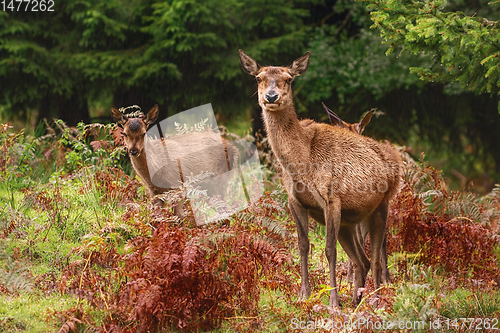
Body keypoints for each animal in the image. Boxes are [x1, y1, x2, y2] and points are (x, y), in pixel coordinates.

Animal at [239, 49, 402, 306]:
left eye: (289, 79)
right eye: (258, 78)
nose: (271, 96)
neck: (302, 162)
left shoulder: (331, 198)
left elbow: (329, 250)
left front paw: (333, 302)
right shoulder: (294, 201)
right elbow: (303, 246)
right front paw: (304, 295)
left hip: (381, 206)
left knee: (376, 260)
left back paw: (374, 302)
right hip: (350, 221)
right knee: (362, 261)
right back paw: (355, 301)